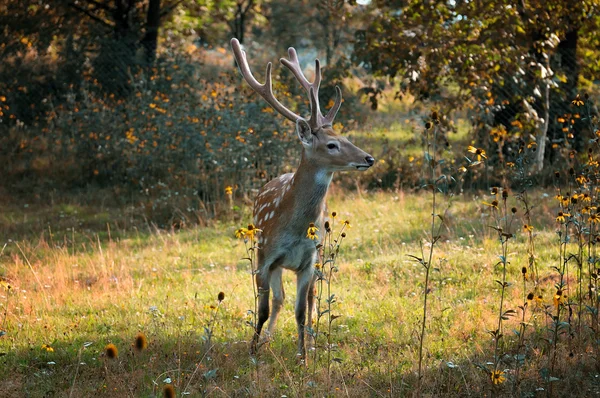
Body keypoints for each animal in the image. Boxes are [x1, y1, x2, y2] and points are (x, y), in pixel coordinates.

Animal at [231, 38, 376, 360]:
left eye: (346, 138)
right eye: (332, 144)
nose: (369, 158)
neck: (294, 229)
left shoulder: (308, 262)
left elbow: (300, 311)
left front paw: (304, 356)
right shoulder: (265, 257)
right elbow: (262, 309)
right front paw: (252, 350)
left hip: (319, 258)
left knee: (309, 300)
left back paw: (310, 339)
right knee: (278, 299)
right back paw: (267, 340)